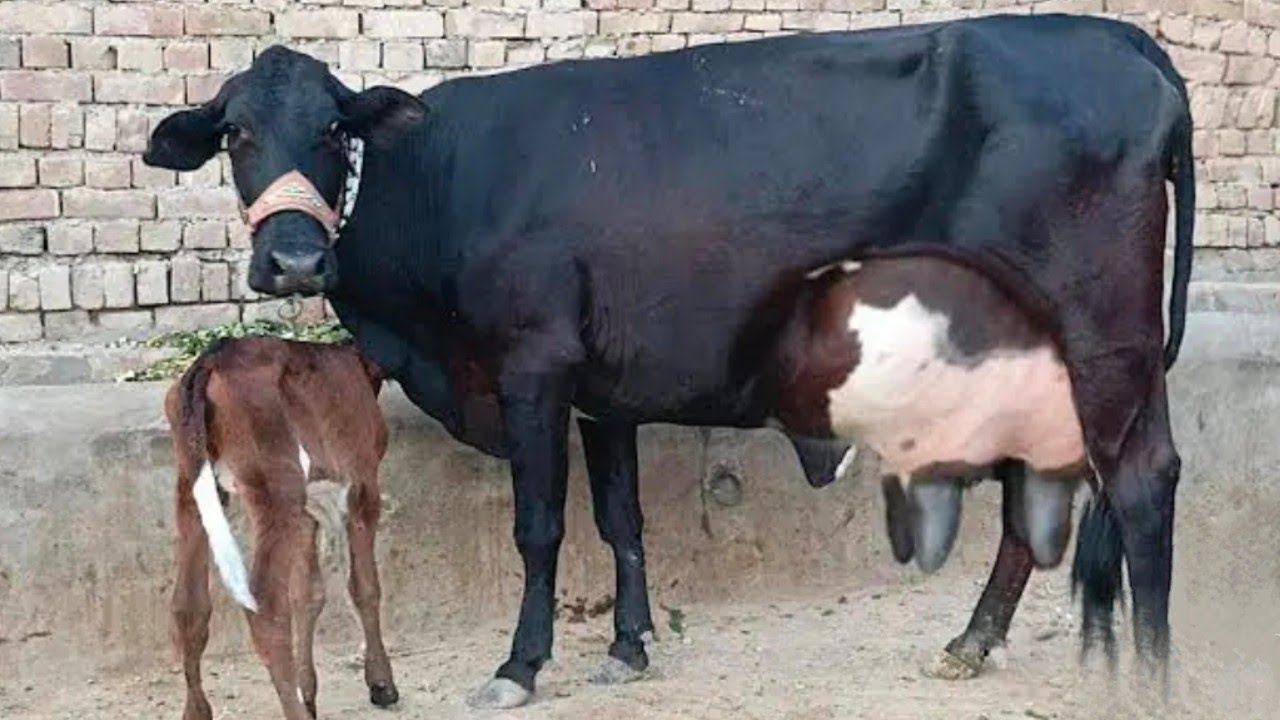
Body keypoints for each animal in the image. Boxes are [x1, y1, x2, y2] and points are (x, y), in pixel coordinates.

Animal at [164, 337, 396, 720]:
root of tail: (213, 356)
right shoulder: (362, 489)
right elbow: (365, 587)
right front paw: (381, 683)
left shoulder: (307, 511)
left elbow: (308, 593)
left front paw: (309, 691)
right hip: (276, 489)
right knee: (267, 608)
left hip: (191, 487)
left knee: (189, 606)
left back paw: (197, 711)